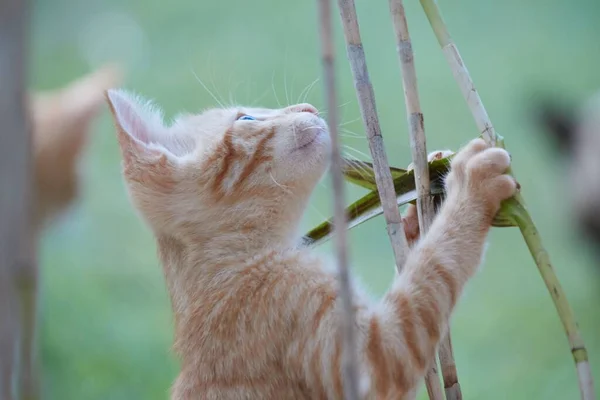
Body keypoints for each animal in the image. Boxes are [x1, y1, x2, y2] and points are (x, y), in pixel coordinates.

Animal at [106, 88, 516, 400]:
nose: (308, 107)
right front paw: (470, 184)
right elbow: (434, 270)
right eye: (246, 119)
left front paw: (420, 203)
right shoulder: (375, 360)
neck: (243, 259)